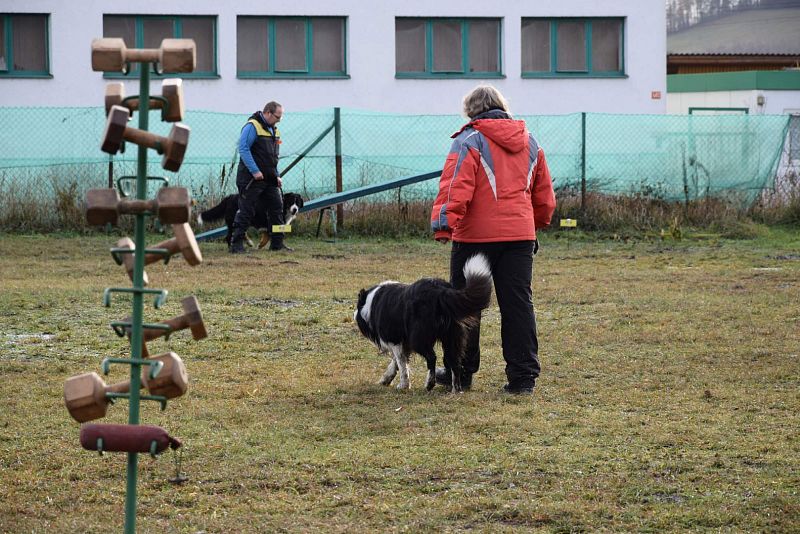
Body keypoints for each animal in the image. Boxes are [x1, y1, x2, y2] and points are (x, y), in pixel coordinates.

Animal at [356, 255, 494, 394]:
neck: (370, 302)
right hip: (452, 337)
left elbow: (401, 363)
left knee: (432, 358)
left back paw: (430, 384)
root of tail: (441, 291)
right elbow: (397, 362)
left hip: (419, 338)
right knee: (455, 362)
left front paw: (403, 385)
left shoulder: (395, 339)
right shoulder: (404, 342)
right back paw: (455, 390)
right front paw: (386, 379)